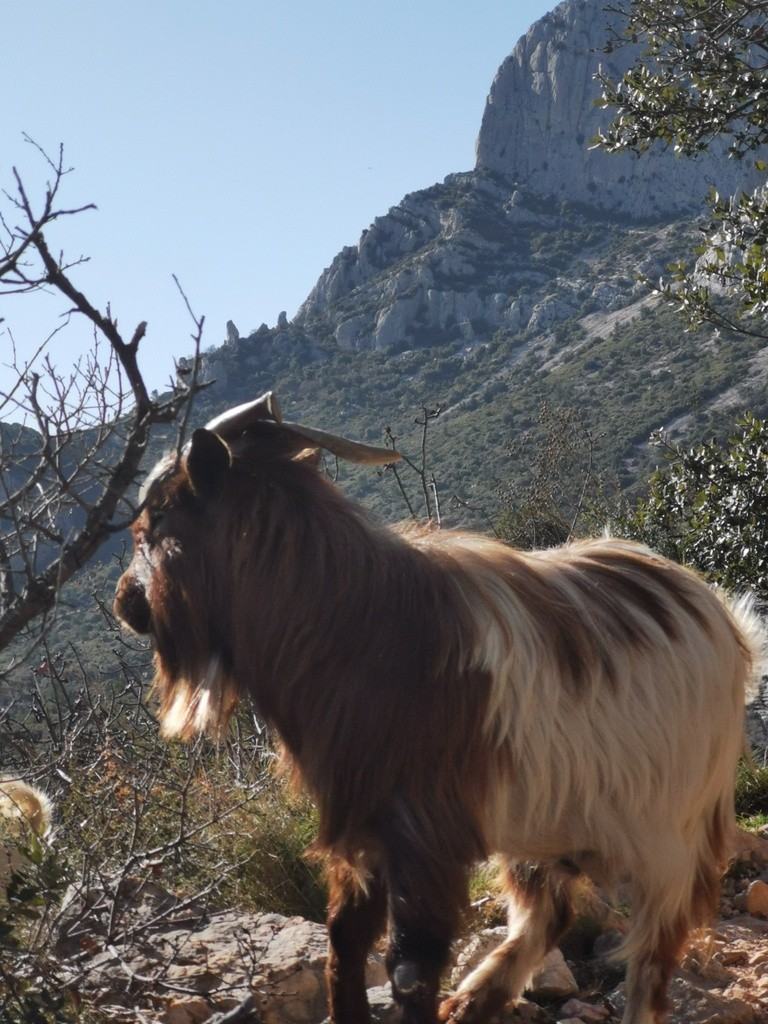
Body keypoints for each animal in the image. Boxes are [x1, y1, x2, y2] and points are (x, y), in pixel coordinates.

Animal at [114, 391, 765, 1024]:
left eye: (154, 521)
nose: (125, 602)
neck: (349, 622)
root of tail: (726, 621)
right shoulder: (363, 823)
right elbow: (345, 941)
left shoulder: (424, 831)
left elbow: (411, 964)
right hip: (545, 826)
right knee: (546, 916)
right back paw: (475, 999)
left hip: (671, 835)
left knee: (651, 957)